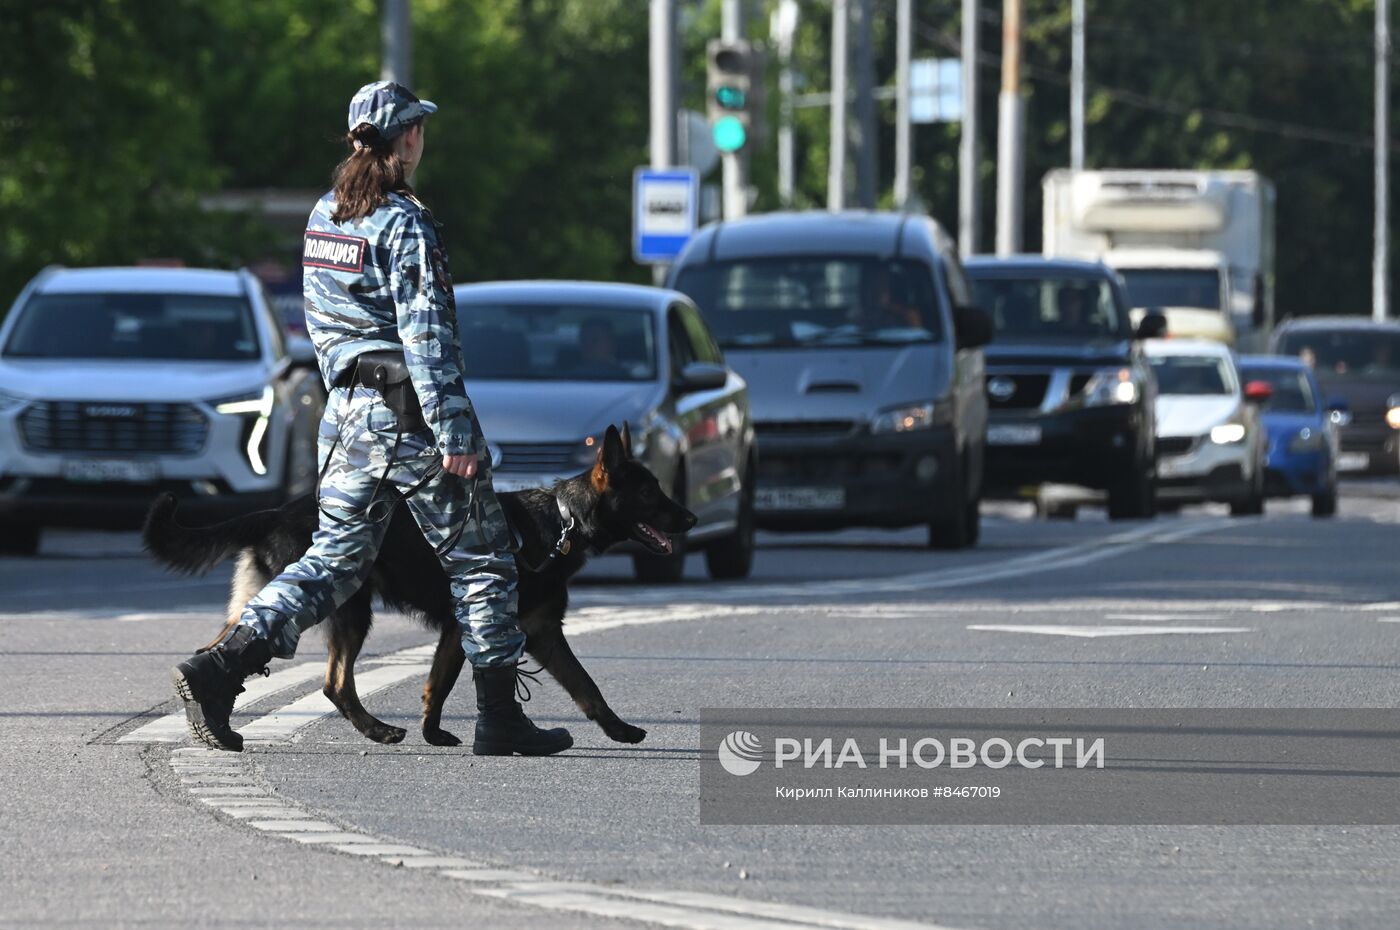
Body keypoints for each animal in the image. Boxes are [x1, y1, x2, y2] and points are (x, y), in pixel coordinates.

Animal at [139, 425, 697, 745]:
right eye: (650, 493)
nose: (691, 519)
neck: (561, 521)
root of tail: (275, 511)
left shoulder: (530, 633)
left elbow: (581, 686)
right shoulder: (486, 624)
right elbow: (456, 681)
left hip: (273, 604)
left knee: (227, 647)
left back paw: (210, 713)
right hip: (348, 608)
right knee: (334, 682)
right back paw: (373, 729)